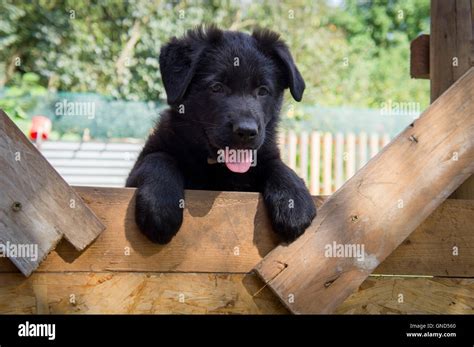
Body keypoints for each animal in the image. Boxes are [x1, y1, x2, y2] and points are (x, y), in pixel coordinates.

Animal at [127, 25, 314, 245]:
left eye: (263, 91)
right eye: (217, 87)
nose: (246, 131)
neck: (217, 167)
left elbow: (278, 165)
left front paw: (295, 201)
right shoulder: (137, 171)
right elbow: (158, 158)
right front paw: (160, 207)